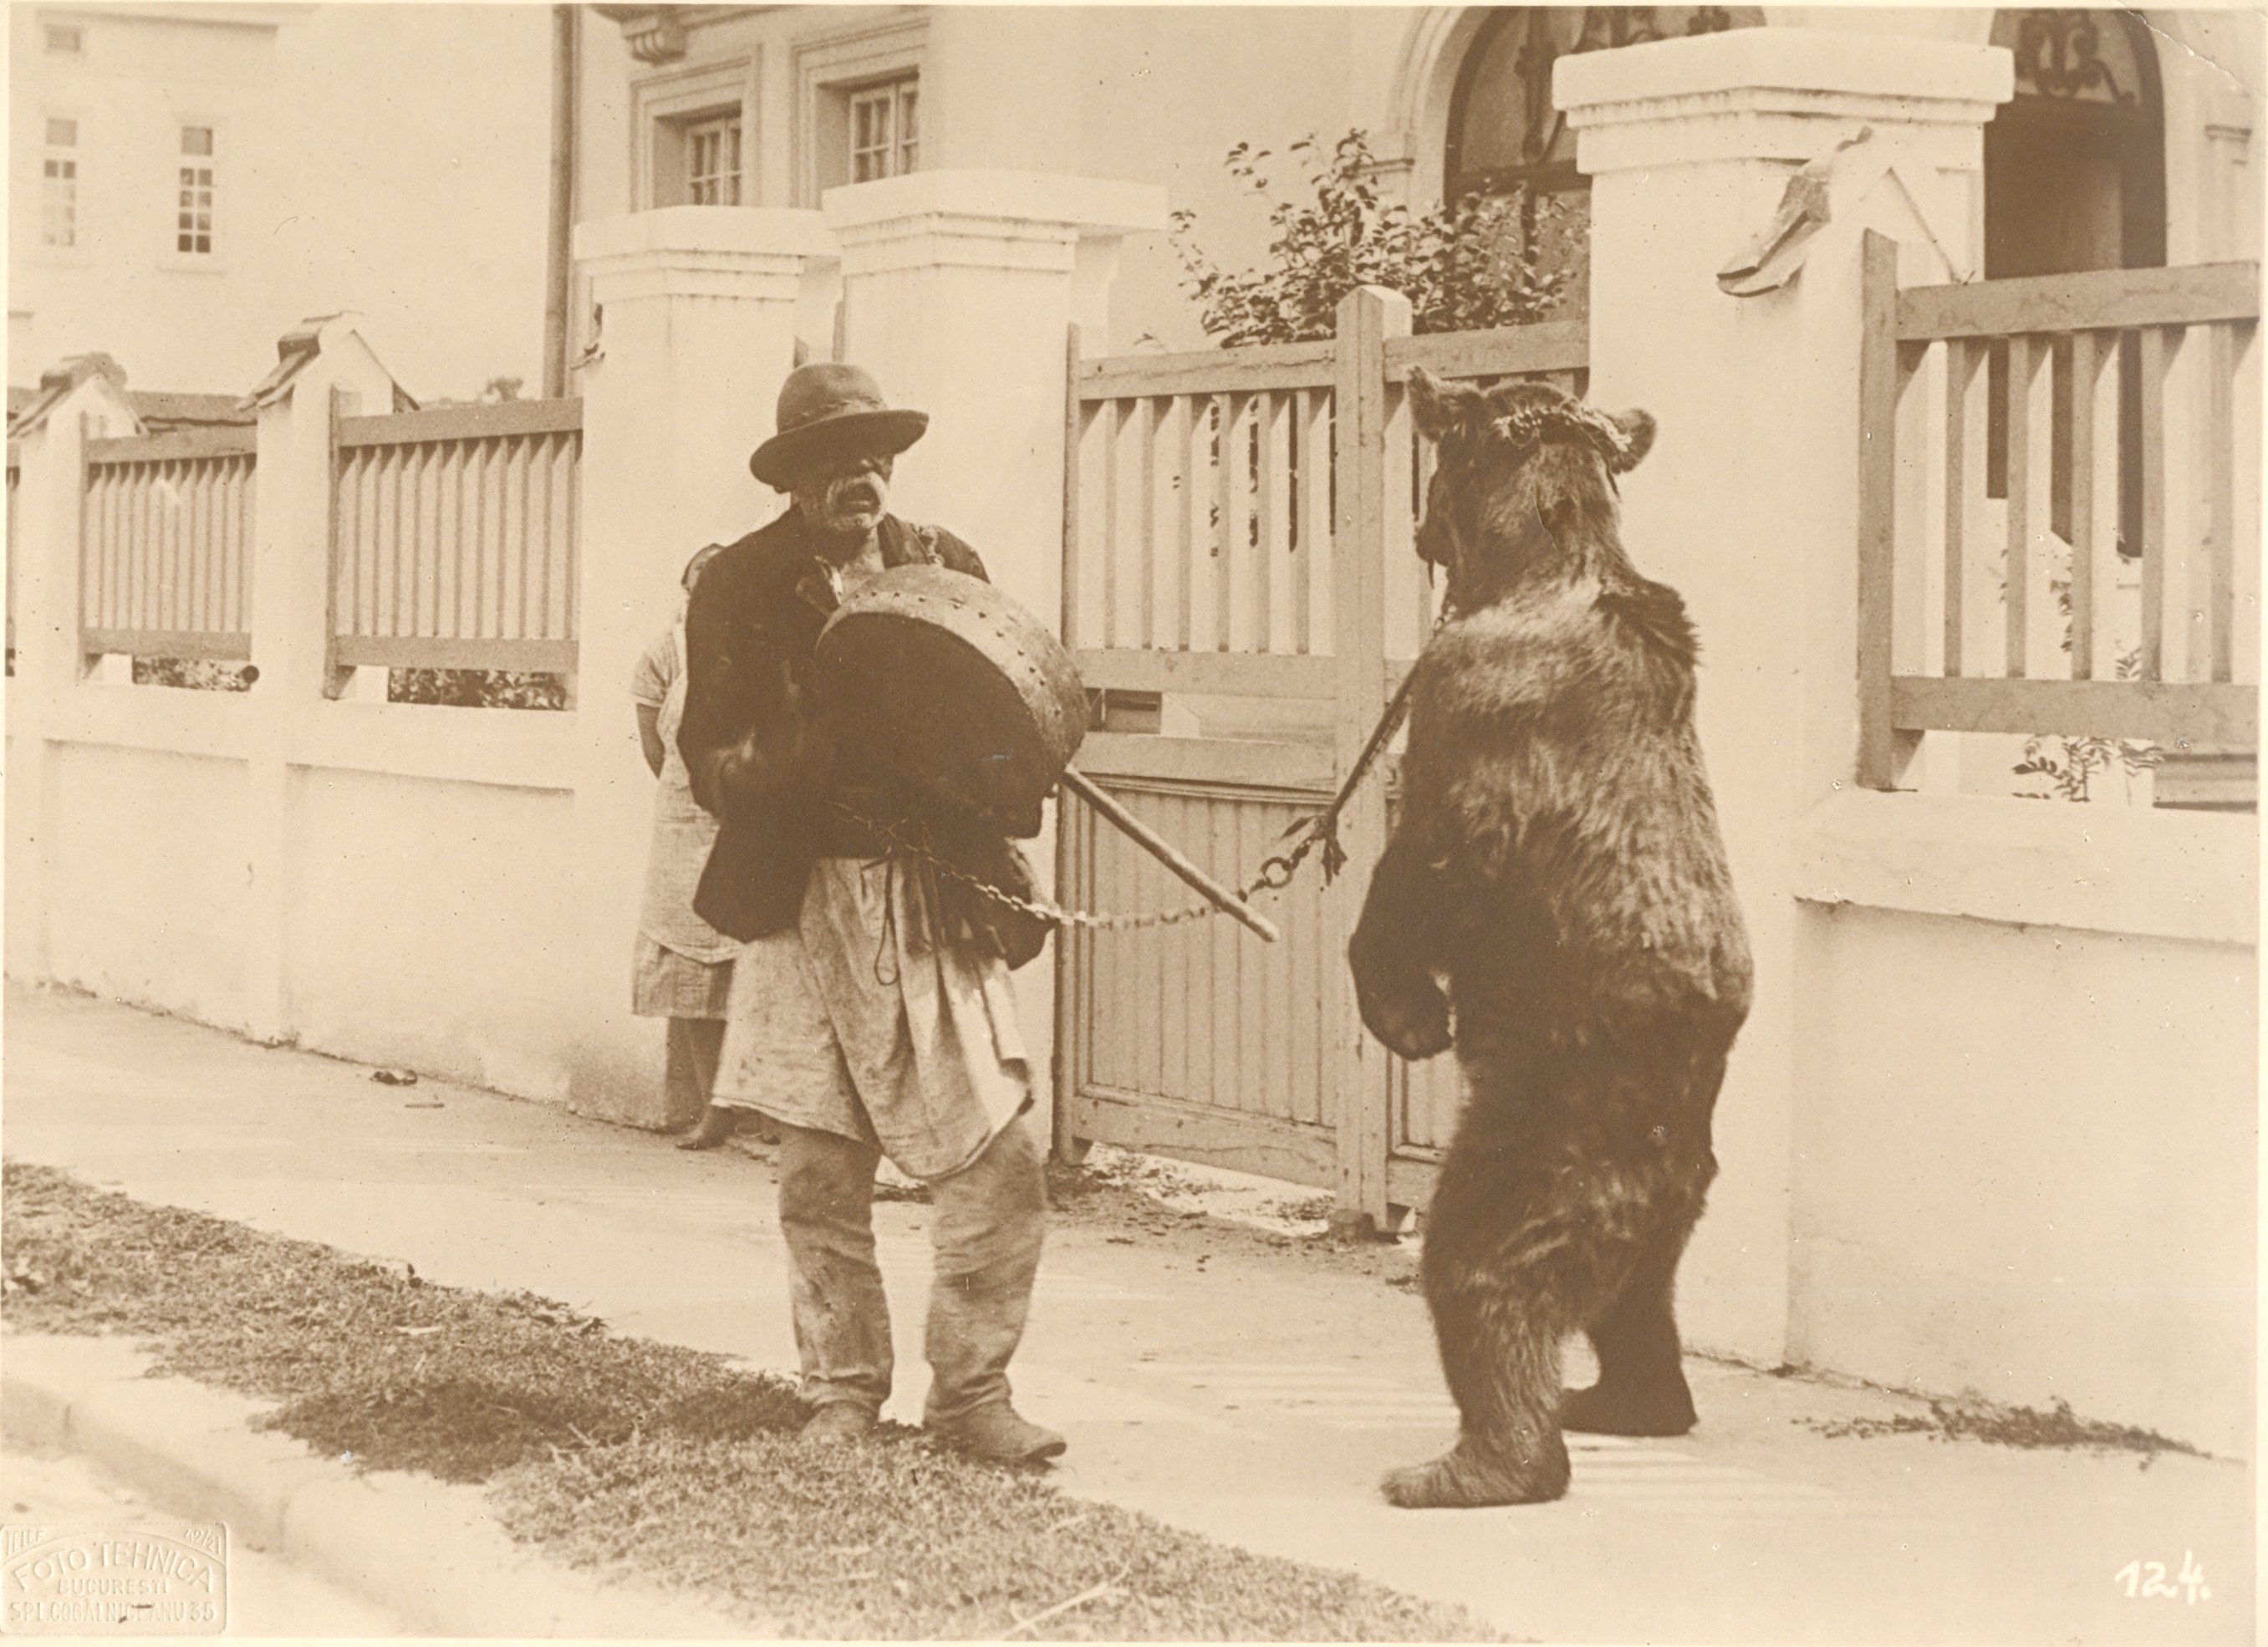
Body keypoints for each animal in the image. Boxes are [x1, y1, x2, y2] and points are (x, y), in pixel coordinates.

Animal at [1351, 372, 1741, 1506]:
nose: (1418, 524)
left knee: (1481, 1265)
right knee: (1639, 1307)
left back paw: (1475, 1462)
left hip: (1542, 1134)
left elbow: (1426, 862)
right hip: (1671, 1204)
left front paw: (1404, 1010)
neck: (1538, 560)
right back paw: (1619, 1399)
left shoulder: (1471, 710)